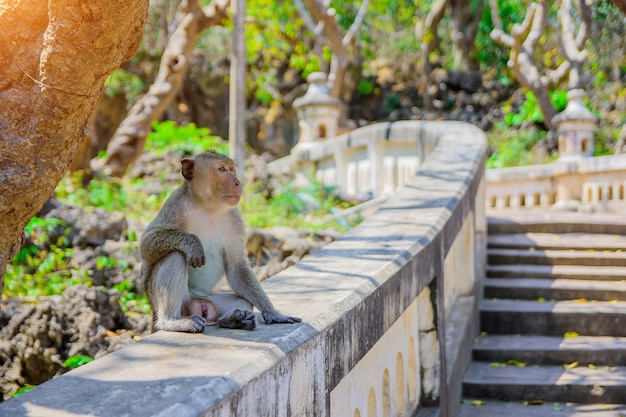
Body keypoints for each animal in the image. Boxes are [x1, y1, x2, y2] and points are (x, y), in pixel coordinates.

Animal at [140, 150, 302, 332]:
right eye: (222, 169)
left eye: (231, 168)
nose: (238, 182)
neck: (208, 208)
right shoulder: (175, 205)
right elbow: (147, 244)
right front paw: (193, 244)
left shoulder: (235, 219)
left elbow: (237, 267)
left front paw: (273, 314)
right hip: (163, 300)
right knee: (176, 256)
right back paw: (172, 321)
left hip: (207, 301)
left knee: (241, 300)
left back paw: (233, 320)